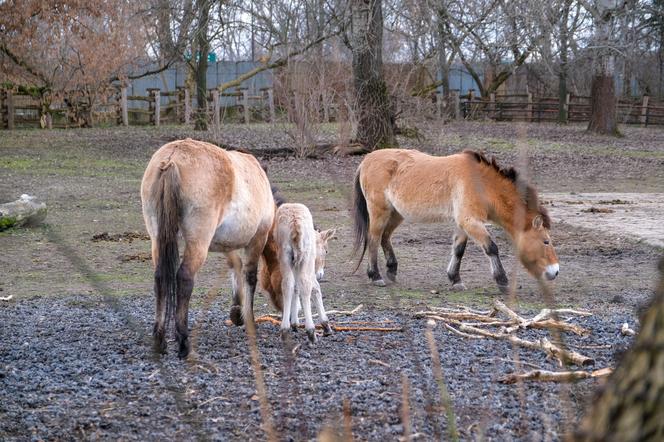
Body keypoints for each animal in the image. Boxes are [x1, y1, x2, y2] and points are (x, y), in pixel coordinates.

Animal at [141, 140, 274, 358]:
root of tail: (172, 159)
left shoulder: (227, 244)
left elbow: (235, 266)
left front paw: (237, 313)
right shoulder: (257, 239)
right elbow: (250, 276)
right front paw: (248, 318)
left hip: (157, 239)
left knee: (160, 278)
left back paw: (160, 341)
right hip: (198, 243)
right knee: (184, 278)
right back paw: (184, 342)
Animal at [258, 201, 334, 346]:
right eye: (326, 251)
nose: (320, 274)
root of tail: (295, 224)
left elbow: (295, 288)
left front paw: (294, 323)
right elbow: (314, 288)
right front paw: (326, 325)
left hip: (285, 256)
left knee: (287, 284)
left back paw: (285, 330)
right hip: (305, 257)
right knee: (304, 284)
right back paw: (311, 332)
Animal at [352, 148, 560, 292]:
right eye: (546, 241)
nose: (555, 271)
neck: (481, 183)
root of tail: (366, 160)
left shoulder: (463, 224)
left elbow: (458, 250)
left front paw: (455, 279)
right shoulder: (470, 222)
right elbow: (491, 248)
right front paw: (502, 281)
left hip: (396, 214)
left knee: (385, 237)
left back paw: (391, 270)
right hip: (380, 212)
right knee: (374, 239)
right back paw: (375, 276)